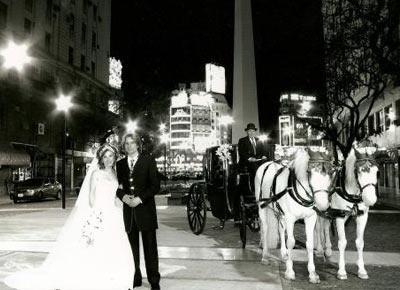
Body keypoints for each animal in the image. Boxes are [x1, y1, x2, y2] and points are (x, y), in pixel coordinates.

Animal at [258, 147, 332, 284]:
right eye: (310, 172)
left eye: (330, 173)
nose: (323, 205)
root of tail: (268, 163)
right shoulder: (290, 218)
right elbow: (291, 242)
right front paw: (289, 271)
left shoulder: (310, 218)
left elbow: (309, 243)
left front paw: (312, 274)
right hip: (262, 207)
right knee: (265, 228)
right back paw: (265, 256)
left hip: (280, 212)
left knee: (281, 229)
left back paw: (284, 253)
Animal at [316, 146, 378, 280]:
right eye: (360, 171)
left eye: (377, 171)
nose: (370, 199)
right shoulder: (340, 215)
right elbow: (342, 242)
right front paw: (341, 271)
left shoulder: (362, 216)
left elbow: (360, 242)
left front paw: (362, 270)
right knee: (318, 227)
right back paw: (319, 249)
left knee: (326, 226)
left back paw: (328, 250)